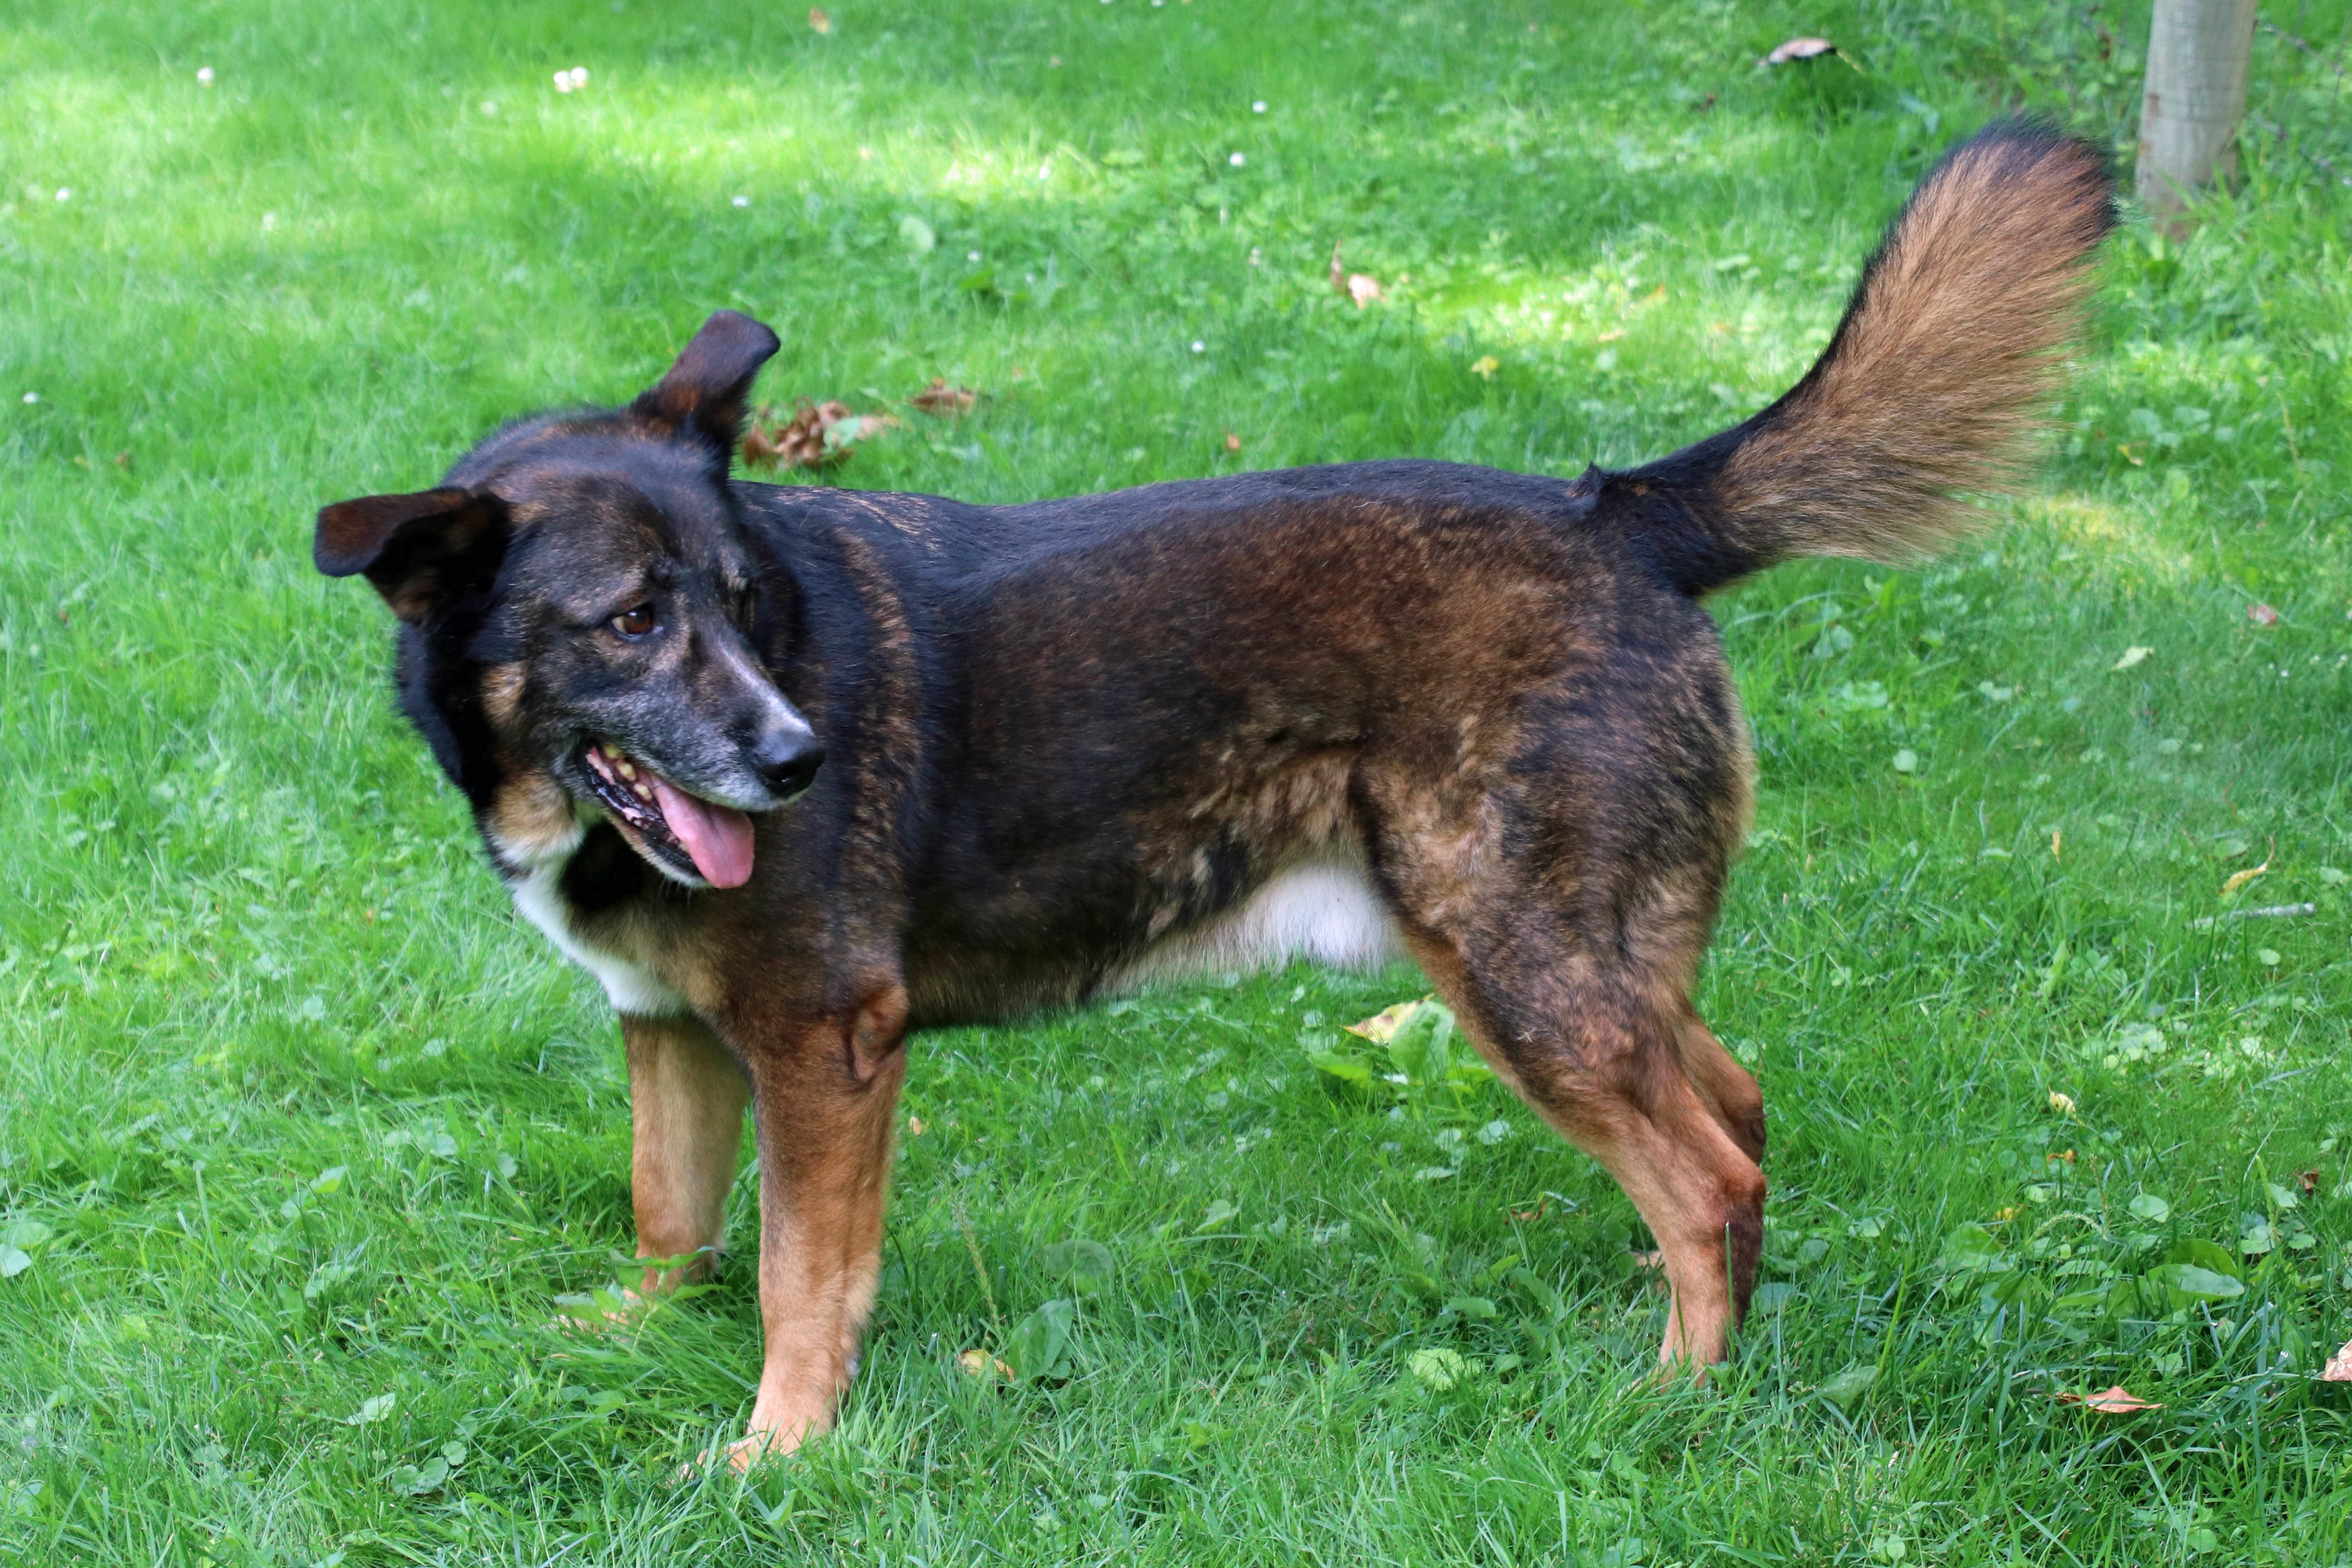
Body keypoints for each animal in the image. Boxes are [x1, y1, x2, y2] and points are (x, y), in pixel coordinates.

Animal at [308, 123, 2116, 1476]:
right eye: (631, 622)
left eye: (749, 606)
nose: (799, 757)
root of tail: (1620, 515)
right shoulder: (668, 1031)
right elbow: (669, 1222)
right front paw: (626, 1346)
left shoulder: (827, 1050)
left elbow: (795, 1281)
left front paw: (778, 1453)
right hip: (1593, 967)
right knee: (1734, 1118)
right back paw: (1695, 1337)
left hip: (1518, 968)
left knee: (1708, 1175)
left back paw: (1667, 1402)